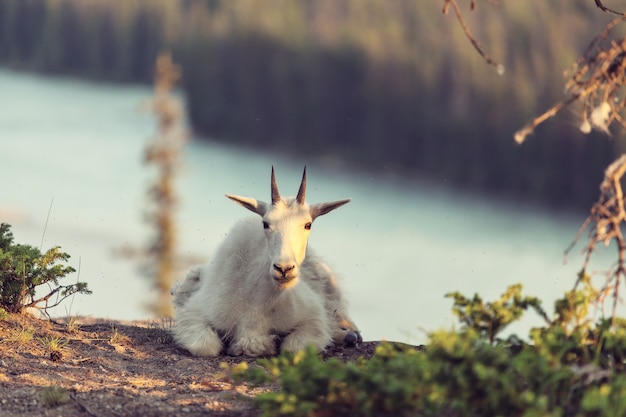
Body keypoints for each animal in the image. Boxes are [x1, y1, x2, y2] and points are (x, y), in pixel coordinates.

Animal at [171, 167, 358, 356]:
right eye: (266, 223)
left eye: (308, 225)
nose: (284, 269)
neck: (256, 304)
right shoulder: (196, 312)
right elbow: (206, 346)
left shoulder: (313, 316)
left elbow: (293, 347)